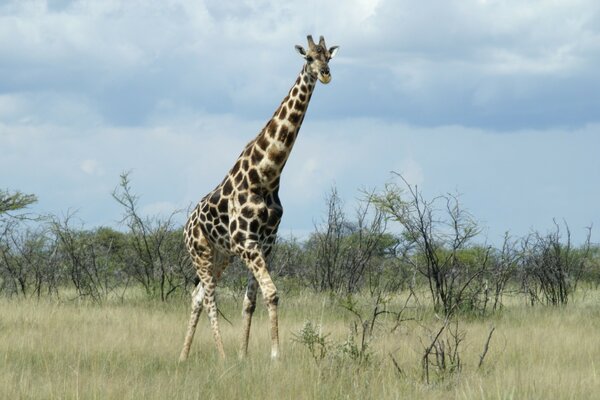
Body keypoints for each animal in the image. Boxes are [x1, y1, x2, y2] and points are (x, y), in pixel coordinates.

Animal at [178, 36, 338, 360]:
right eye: (309, 58)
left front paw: (245, 355)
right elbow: (272, 293)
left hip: (221, 255)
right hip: (200, 252)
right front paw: (274, 356)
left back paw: (184, 356)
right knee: (210, 297)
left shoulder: (265, 245)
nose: (326, 74)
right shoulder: (247, 243)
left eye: (329, 57)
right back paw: (221, 355)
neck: (266, 176)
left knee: (197, 295)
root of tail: (186, 226)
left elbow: (251, 300)